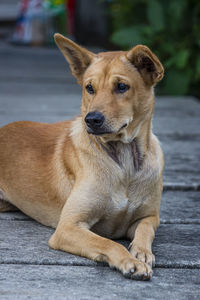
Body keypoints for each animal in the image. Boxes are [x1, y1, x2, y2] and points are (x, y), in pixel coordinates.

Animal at [0, 34, 164, 280]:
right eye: (89, 88)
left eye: (122, 87)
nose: (92, 119)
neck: (123, 159)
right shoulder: (68, 227)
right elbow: (107, 243)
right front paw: (129, 261)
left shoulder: (149, 217)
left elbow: (145, 230)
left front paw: (141, 252)